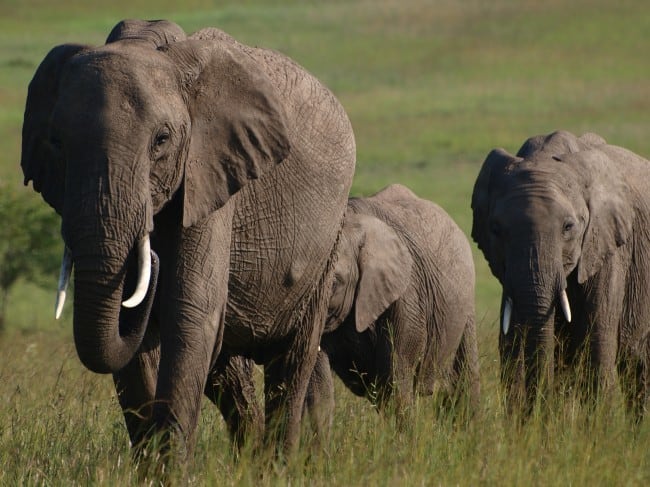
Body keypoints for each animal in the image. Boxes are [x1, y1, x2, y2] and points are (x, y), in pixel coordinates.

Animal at [21, 19, 354, 462]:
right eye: (56, 142)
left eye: (162, 140)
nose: (152, 257)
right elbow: (134, 348)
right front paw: (151, 466)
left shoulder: (210, 174)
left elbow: (189, 314)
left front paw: (171, 468)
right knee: (229, 377)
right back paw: (250, 462)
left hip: (327, 245)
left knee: (291, 364)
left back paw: (277, 465)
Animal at [302, 185, 476, 436]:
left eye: (334, 282)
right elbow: (318, 389)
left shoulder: (406, 295)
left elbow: (396, 379)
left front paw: (404, 444)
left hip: (466, 303)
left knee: (465, 374)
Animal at [470, 132, 648, 422]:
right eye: (495, 229)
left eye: (568, 227)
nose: (539, 412)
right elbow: (511, 344)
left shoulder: (608, 249)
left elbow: (597, 343)